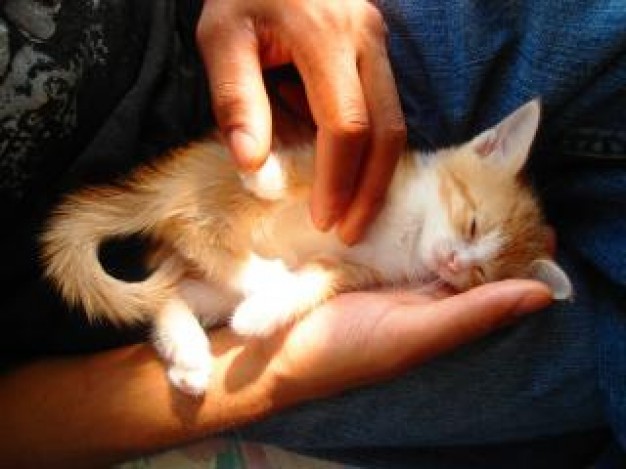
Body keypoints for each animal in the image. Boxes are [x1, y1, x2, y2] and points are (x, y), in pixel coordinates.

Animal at [40, 99, 572, 394]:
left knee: (179, 285)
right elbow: (302, 173)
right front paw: (266, 174)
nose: (453, 261)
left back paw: (191, 354)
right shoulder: (346, 176)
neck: (409, 230)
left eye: (482, 275)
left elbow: (312, 284)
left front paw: (262, 315)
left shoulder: (352, 270)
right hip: (212, 197)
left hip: (210, 285)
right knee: (194, 227)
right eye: (472, 223)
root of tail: (167, 188)